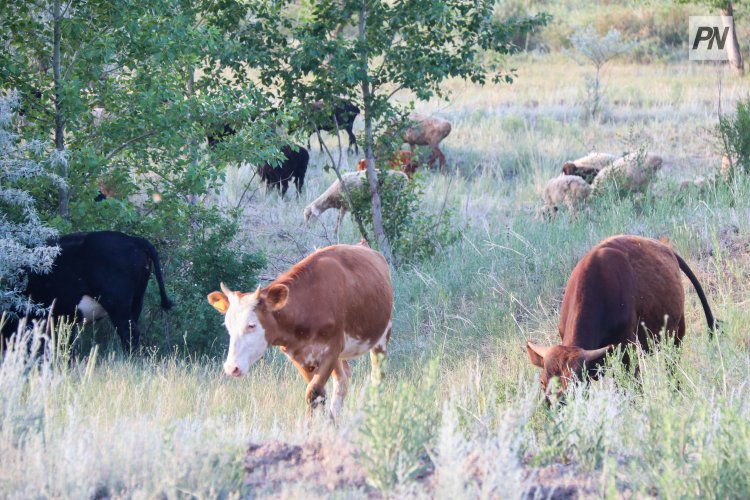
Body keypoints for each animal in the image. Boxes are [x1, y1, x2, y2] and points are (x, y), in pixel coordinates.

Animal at [206, 244, 394, 420]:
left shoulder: (332, 350)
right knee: (342, 379)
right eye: (228, 326)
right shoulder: (298, 355)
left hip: (382, 337)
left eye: (251, 325)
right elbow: (319, 393)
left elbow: (313, 392)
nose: (232, 368)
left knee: (377, 378)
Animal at [524, 235, 720, 398]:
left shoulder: (628, 350)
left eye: (575, 384)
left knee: (672, 366)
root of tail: (666, 248)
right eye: (542, 382)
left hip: (676, 333)